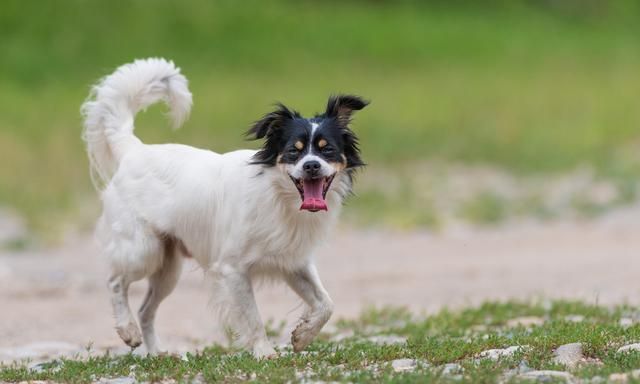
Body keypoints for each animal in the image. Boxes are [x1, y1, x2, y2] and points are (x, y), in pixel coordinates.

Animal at [80, 57, 370, 356]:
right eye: (294, 151)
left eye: (327, 150)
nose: (311, 165)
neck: (280, 197)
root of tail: (134, 149)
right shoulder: (233, 270)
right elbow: (253, 318)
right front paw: (264, 353)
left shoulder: (294, 263)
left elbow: (326, 303)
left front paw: (304, 334)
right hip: (143, 251)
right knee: (115, 281)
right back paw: (127, 330)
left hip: (167, 268)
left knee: (146, 309)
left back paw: (156, 353)